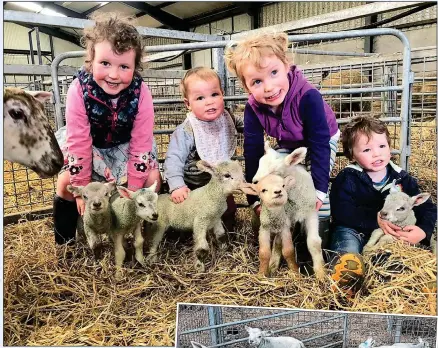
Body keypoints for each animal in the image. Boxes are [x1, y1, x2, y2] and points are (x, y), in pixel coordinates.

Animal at [253, 141, 326, 280]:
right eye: (259, 164)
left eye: (274, 171)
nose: (255, 183)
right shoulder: (284, 218)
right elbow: (278, 243)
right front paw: (273, 265)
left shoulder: (311, 213)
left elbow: (314, 242)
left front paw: (321, 273)